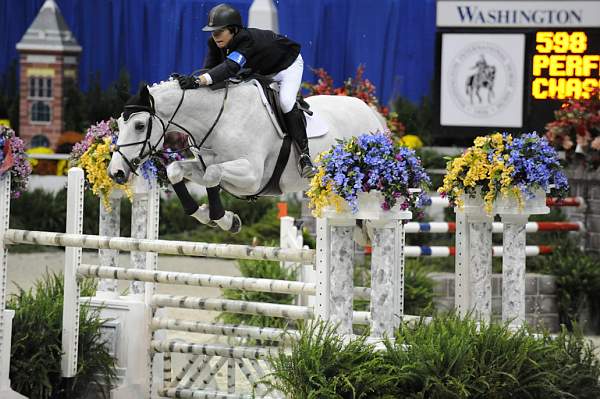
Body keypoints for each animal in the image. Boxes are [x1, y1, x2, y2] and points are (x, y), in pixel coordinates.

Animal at [108, 79, 384, 231]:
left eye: (139, 125)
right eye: (119, 124)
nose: (116, 173)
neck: (219, 119)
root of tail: (371, 112)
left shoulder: (252, 177)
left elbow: (212, 175)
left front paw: (224, 220)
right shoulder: (203, 164)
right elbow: (176, 170)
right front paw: (205, 215)